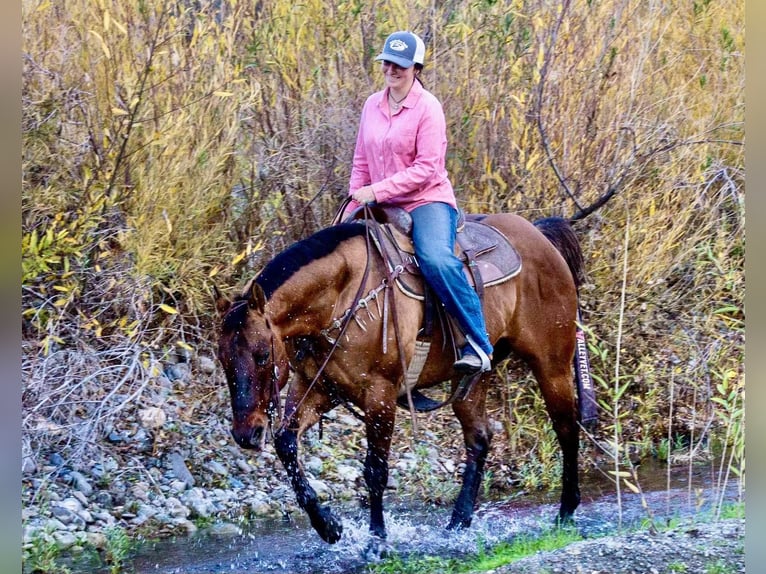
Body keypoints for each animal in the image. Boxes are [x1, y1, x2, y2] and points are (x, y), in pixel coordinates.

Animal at [214, 212, 588, 548]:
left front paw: (377, 540)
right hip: (473, 380)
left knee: (566, 429)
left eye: (262, 355)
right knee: (479, 438)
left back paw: (566, 511)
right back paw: (458, 522)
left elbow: (375, 470)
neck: (340, 297)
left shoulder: (380, 395)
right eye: (222, 359)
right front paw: (329, 526)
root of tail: (540, 236)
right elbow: (286, 445)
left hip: (551, 365)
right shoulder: (316, 388)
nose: (246, 434)